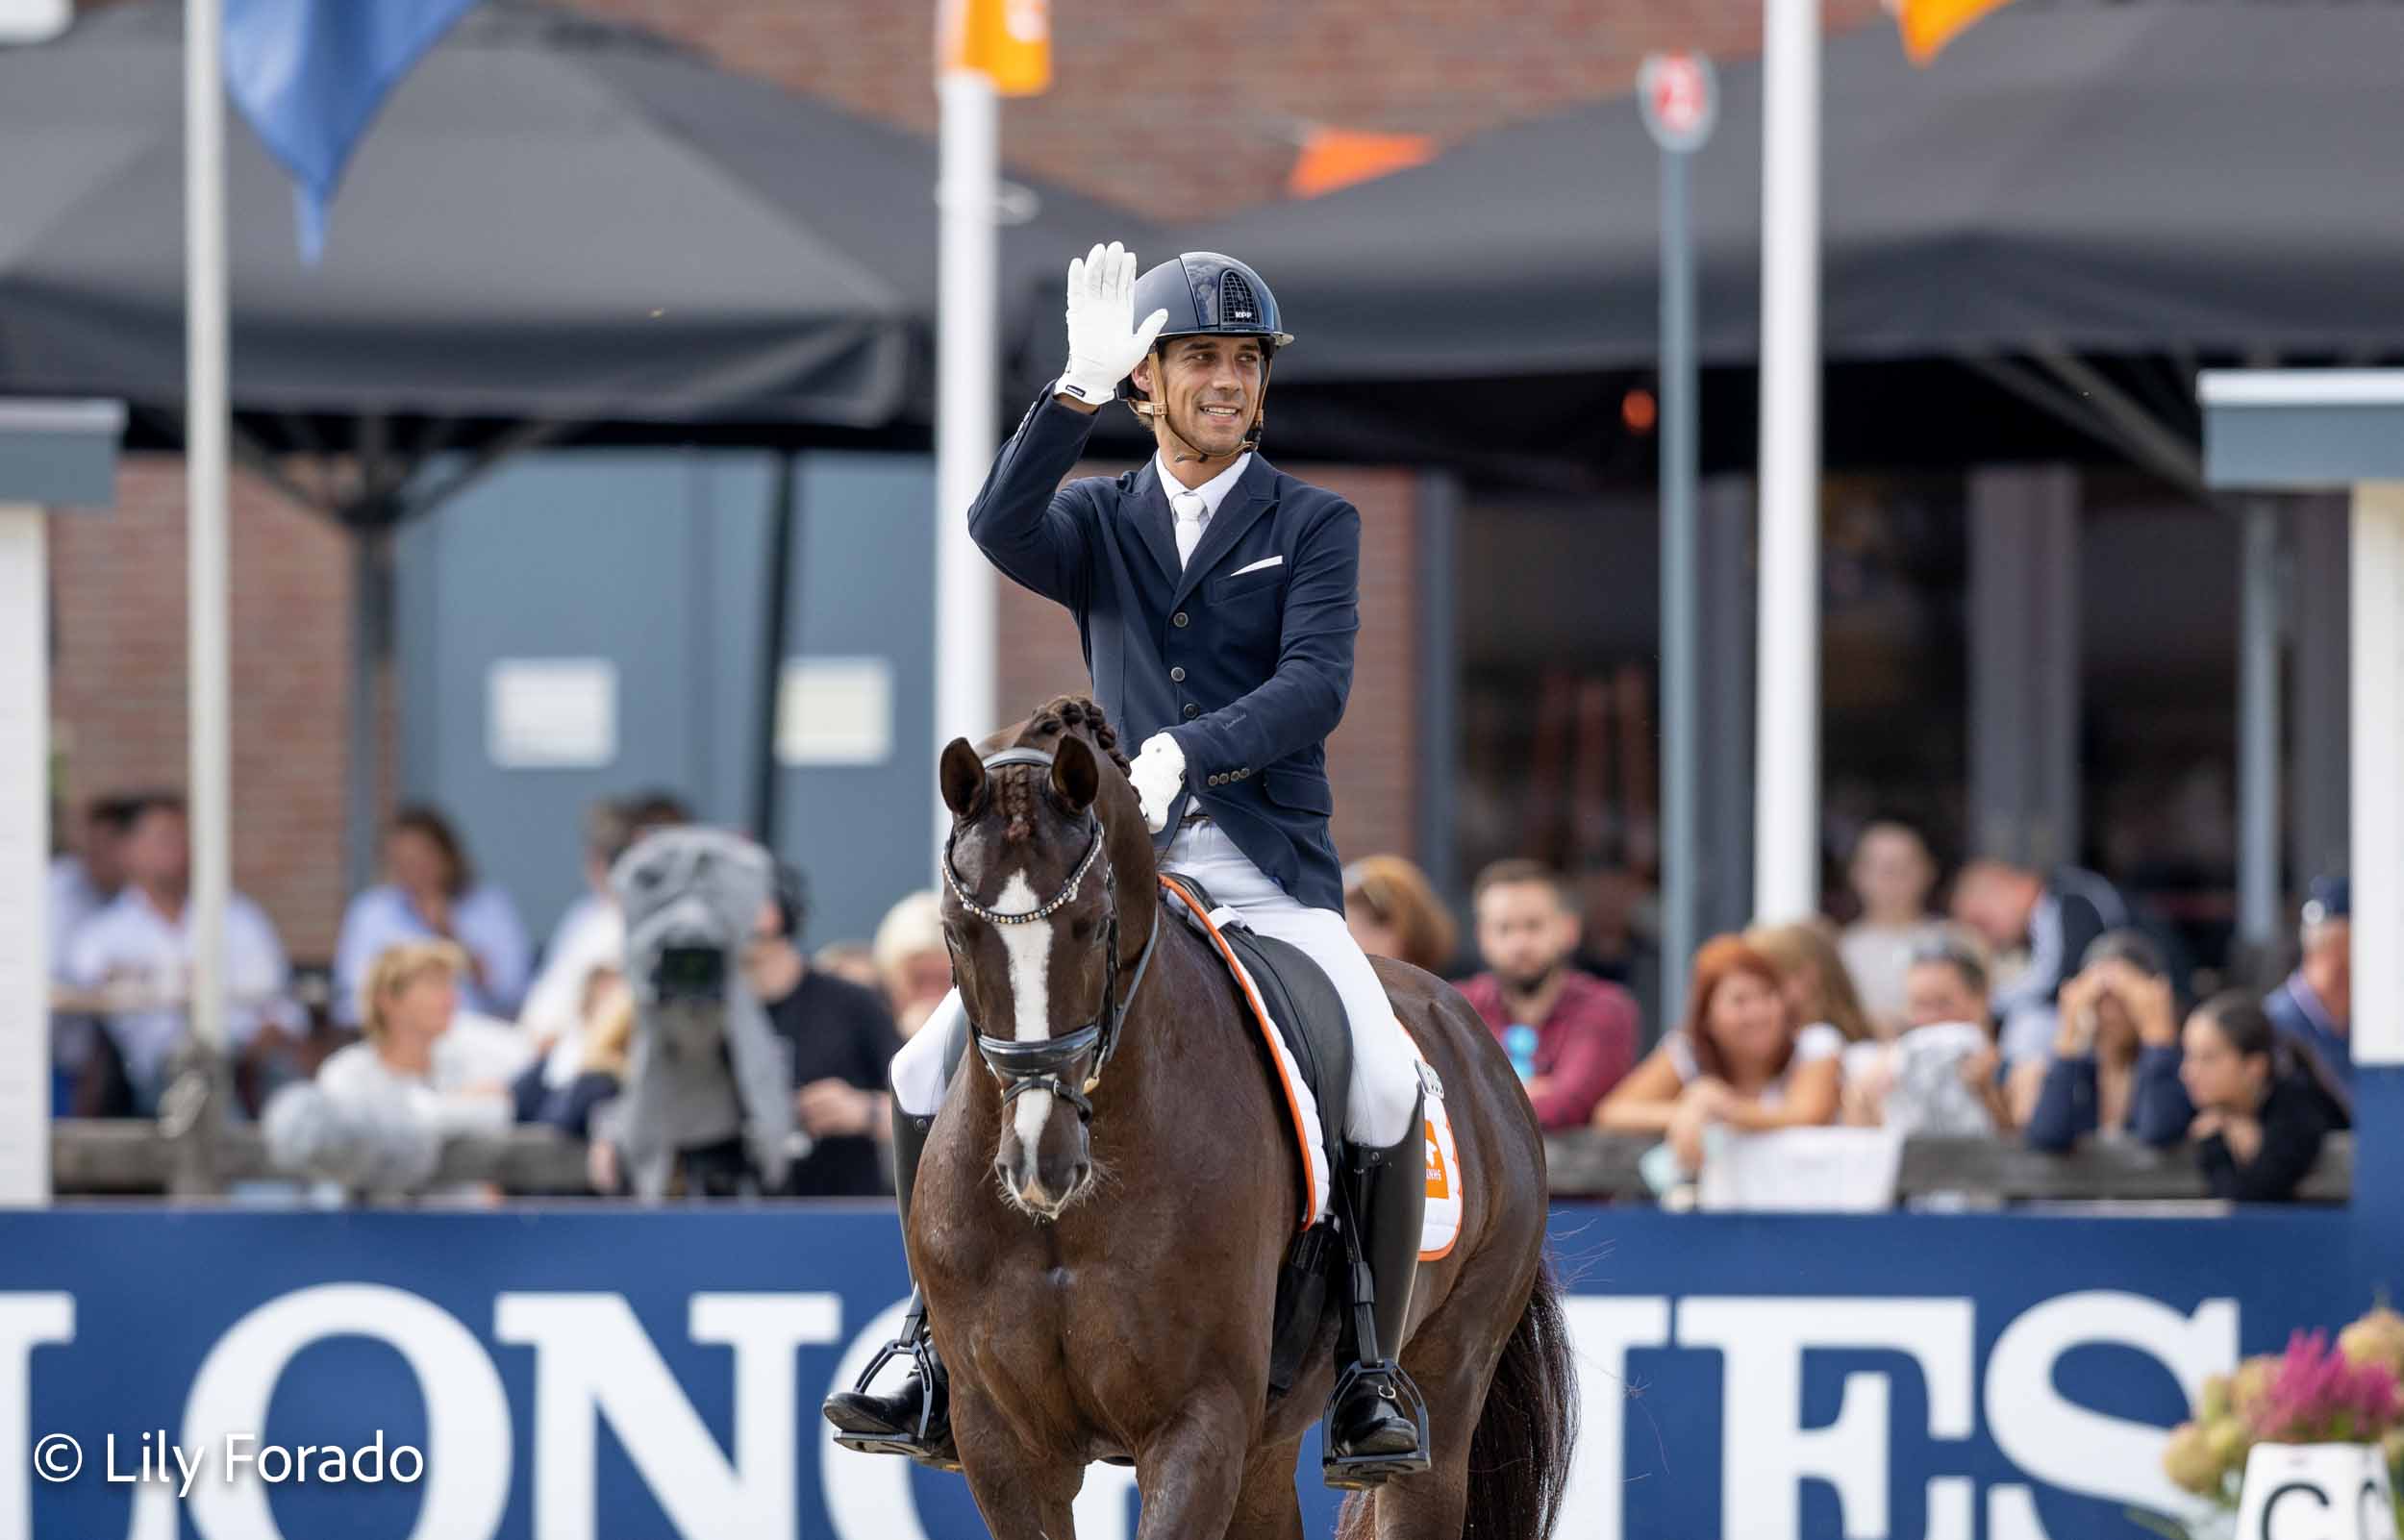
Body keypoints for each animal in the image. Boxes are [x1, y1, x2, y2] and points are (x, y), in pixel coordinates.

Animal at [909, 701, 1567, 1537]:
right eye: (956, 930)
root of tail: (1473, 1033)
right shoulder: (1002, 1441)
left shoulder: (1199, 1424)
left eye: (1094, 922)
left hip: (1444, 1404)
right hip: (1267, 1448)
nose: (1039, 1162)